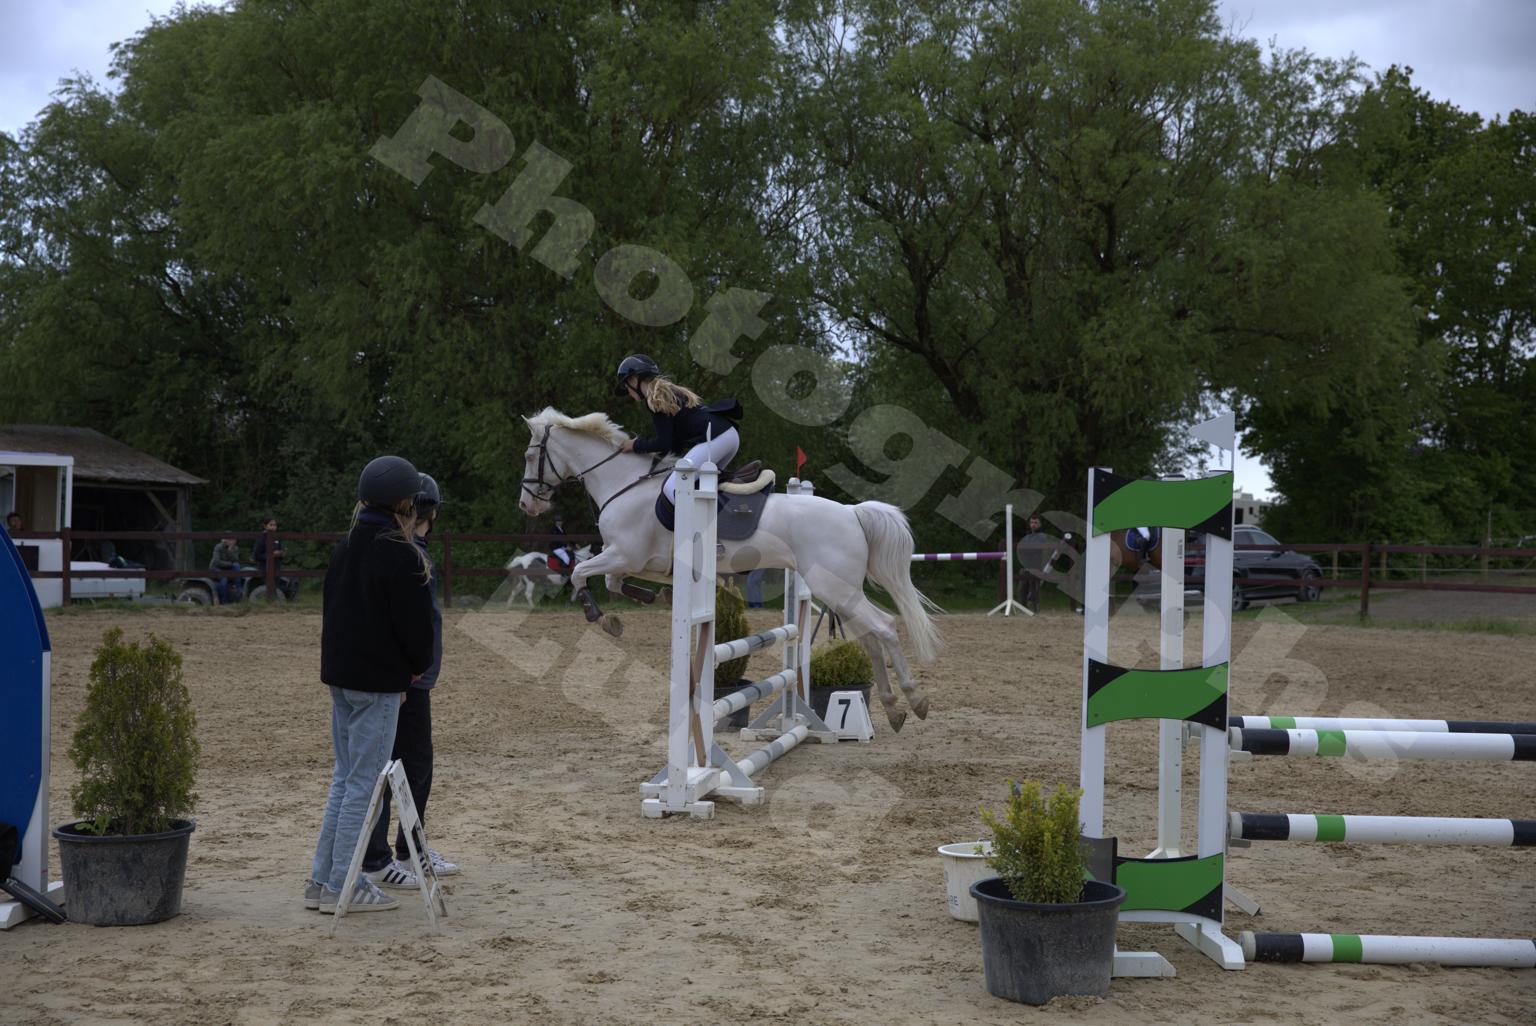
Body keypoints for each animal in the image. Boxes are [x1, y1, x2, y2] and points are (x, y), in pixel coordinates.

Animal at [517, 408, 939, 731]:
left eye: (529, 456)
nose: (526, 505)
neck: (623, 484)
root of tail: (852, 513)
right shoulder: (630, 561)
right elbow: (613, 583)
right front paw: (643, 603)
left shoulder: (624, 554)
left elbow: (580, 574)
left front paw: (597, 614)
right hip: (840, 592)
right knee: (870, 638)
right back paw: (893, 708)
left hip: (835, 588)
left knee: (885, 627)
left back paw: (915, 700)